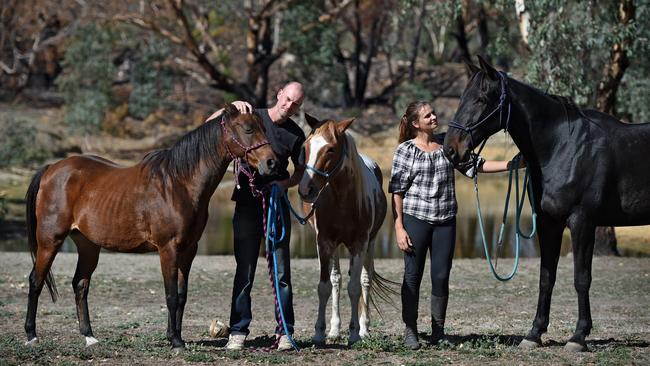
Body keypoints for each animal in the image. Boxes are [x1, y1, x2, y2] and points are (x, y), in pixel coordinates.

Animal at [22, 104, 274, 350]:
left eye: (263, 128)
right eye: (248, 129)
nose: (271, 162)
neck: (179, 184)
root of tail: (51, 169)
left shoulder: (188, 250)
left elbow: (181, 295)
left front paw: (176, 337)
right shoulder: (168, 248)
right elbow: (171, 295)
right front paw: (175, 341)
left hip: (88, 246)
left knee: (80, 284)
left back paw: (89, 337)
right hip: (50, 241)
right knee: (36, 281)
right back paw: (31, 335)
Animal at [296, 114, 392, 346]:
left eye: (330, 149)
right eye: (306, 146)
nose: (305, 190)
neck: (342, 199)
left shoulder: (359, 244)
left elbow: (355, 288)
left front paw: (355, 332)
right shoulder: (324, 242)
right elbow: (325, 286)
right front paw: (320, 333)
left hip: (371, 243)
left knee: (365, 280)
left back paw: (364, 329)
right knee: (336, 280)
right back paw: (334, 329)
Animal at [442, 56, 648, 352]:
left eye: (481, 99)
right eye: (461, 98)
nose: (450, 150)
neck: (564, 146)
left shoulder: (582, 222)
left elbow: (581, 278)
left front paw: (578, 336)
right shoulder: (549, 223)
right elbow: (546, 277)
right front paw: (534, 333)